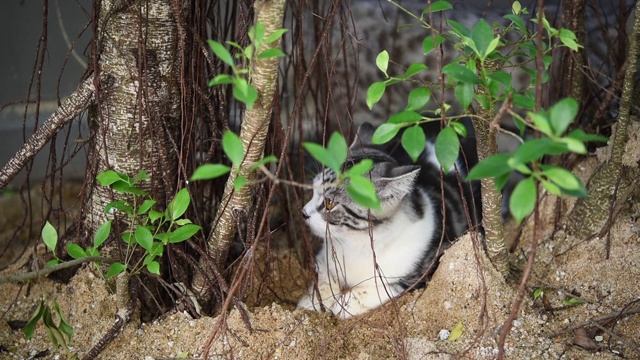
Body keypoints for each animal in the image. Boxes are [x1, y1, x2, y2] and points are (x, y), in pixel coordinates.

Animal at [298, 122, 480, 320]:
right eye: (313, 189)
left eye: (329, 203)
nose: (304, 213)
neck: (355, 243)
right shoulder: (325, 256)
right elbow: (324, 277)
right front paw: (311, 301)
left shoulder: (428, 265)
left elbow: (386, 287)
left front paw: (347, 303)